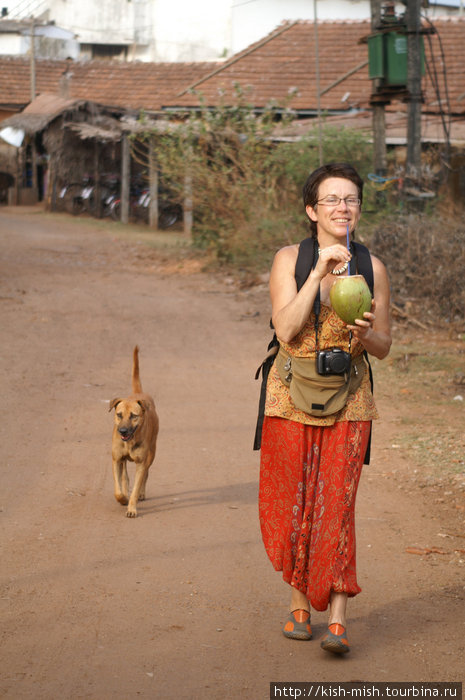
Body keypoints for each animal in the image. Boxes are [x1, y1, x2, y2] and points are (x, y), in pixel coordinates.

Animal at [109, 348, 159, 516]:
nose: (123, 430)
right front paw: (123, 498)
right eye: (119, 415)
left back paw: (141, 494)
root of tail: (139, 393)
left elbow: (137, 487)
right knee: (125, 477)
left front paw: (132, 507)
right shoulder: (117, 459)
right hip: (123, 460)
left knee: (146, 474)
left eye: (133, 416)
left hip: (152, 452)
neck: (130, 441)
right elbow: (118, 489)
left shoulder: (141, 462)